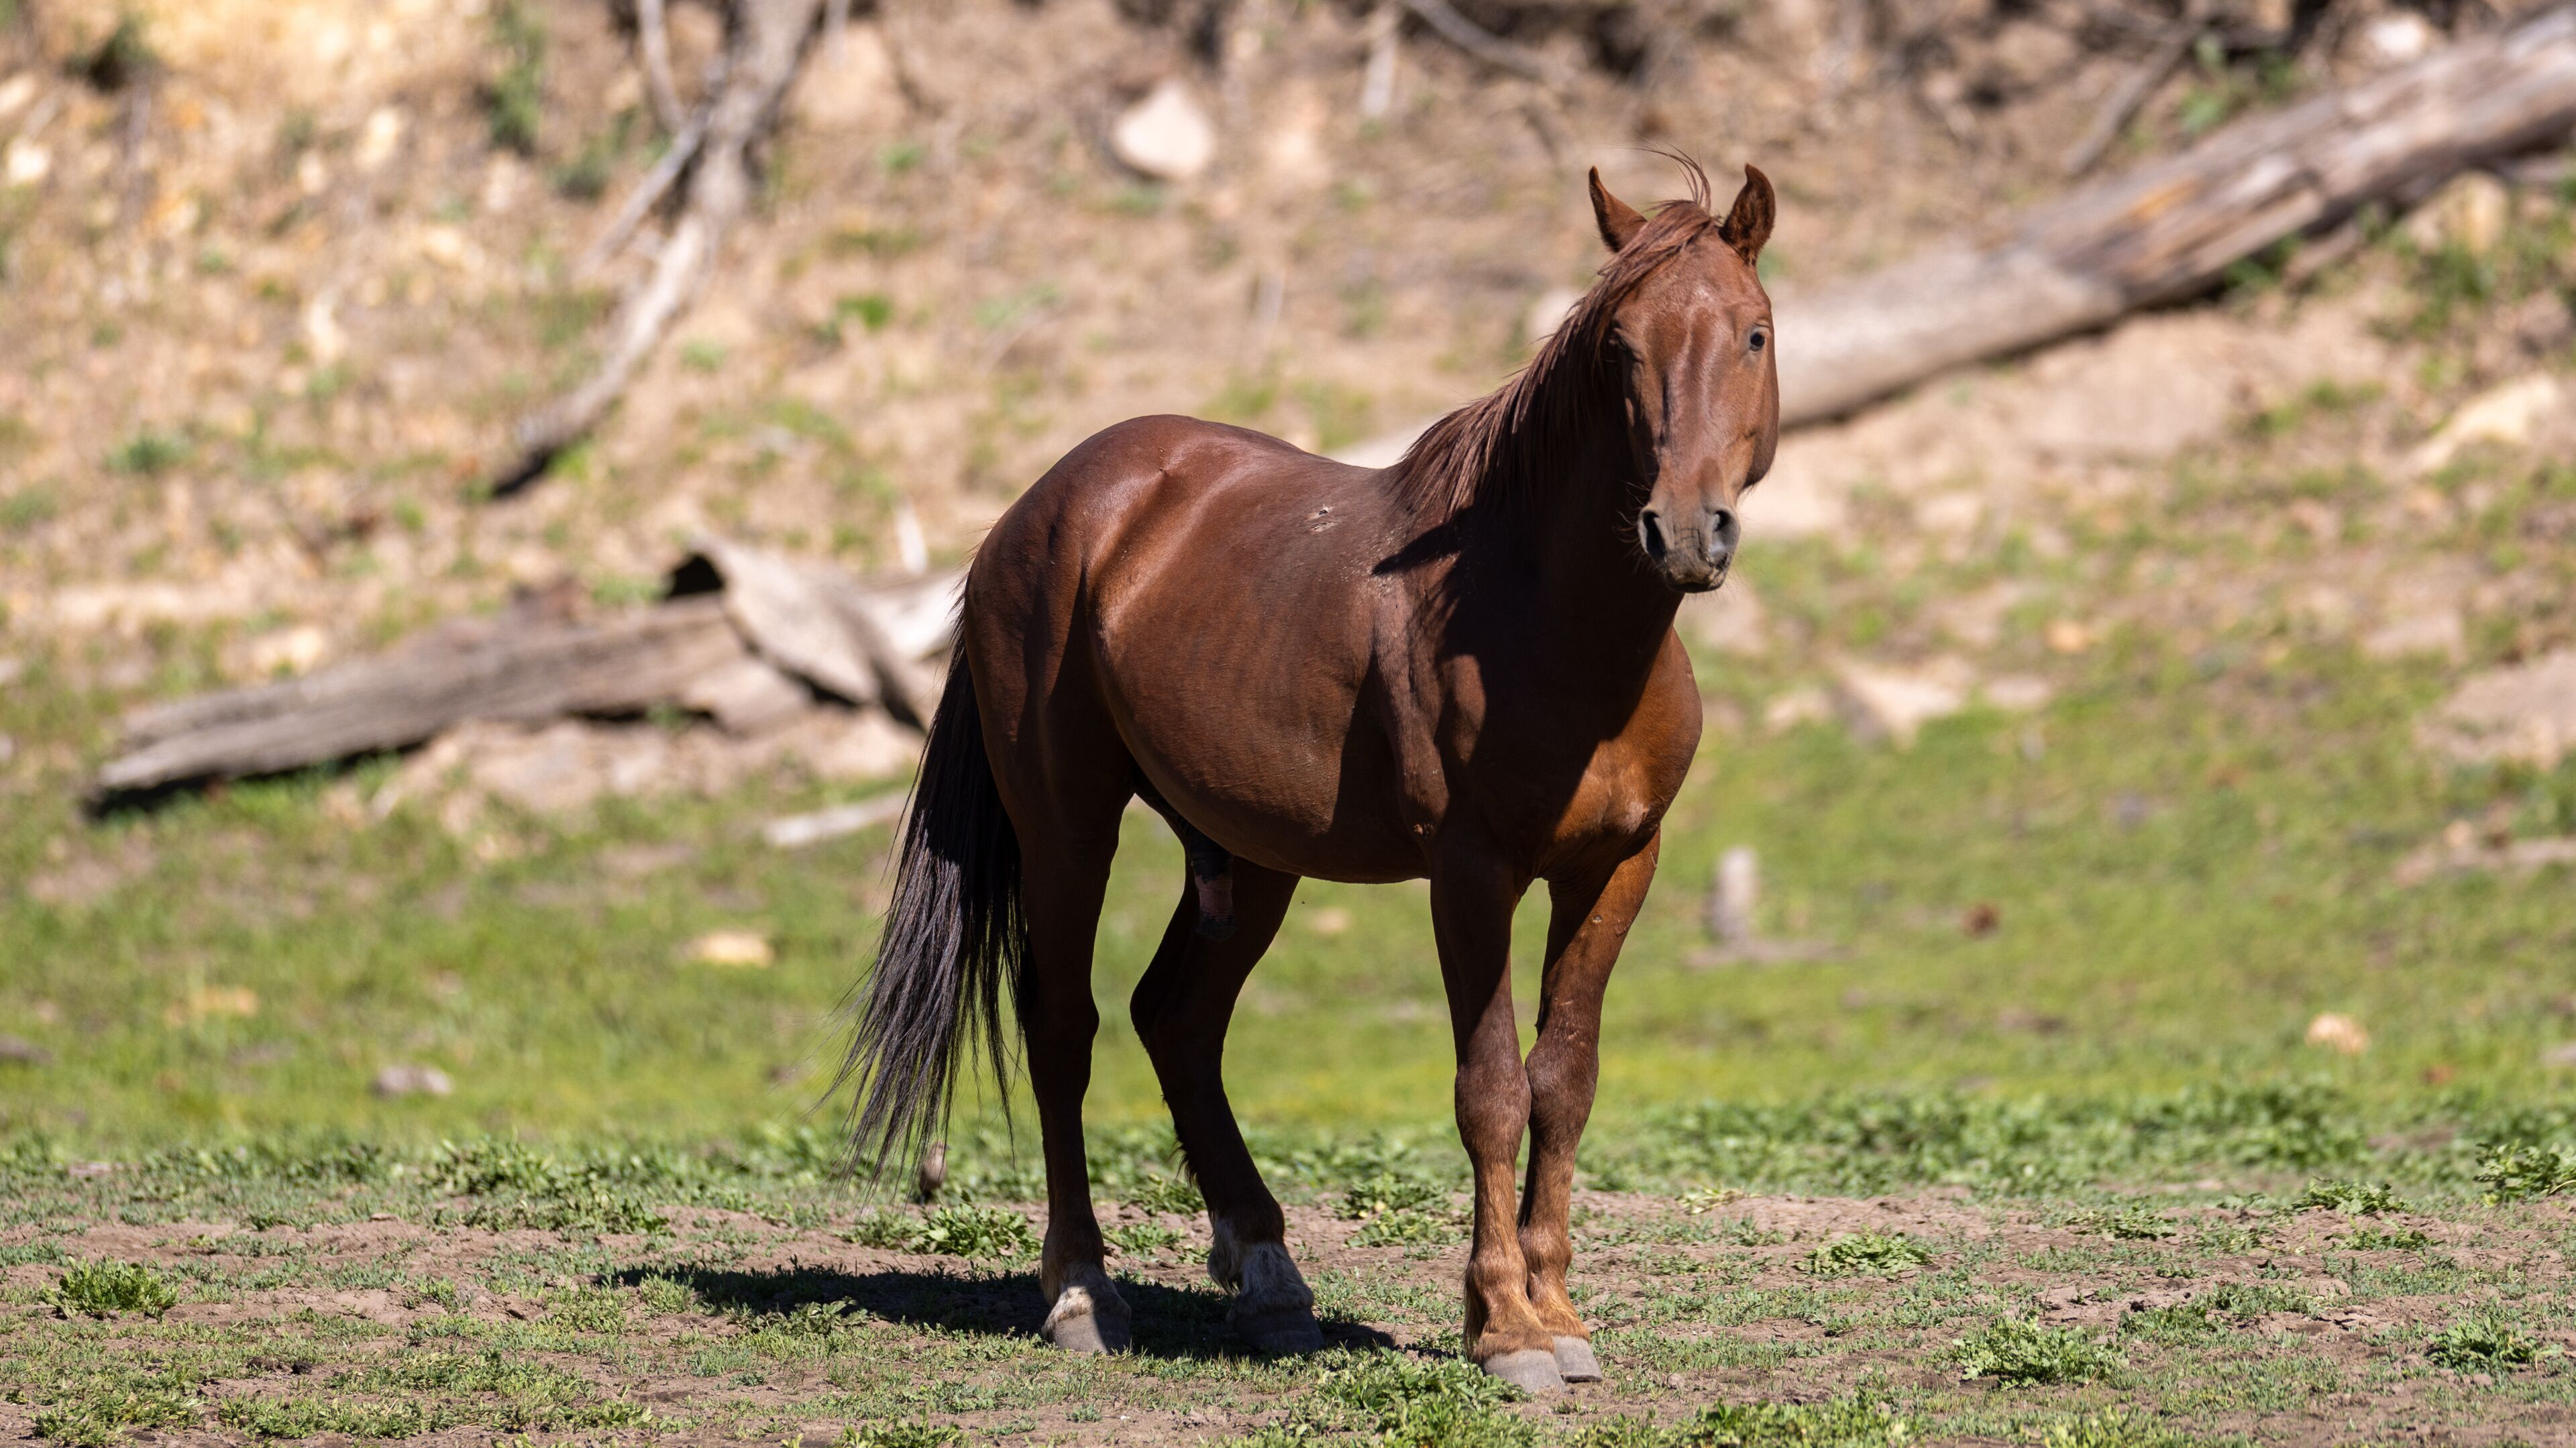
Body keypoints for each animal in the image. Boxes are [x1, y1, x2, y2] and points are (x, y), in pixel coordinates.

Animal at [840, 154, 1777, 1393]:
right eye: (1621, 345)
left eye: (1755, 333)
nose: (1683, 531)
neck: (1548, 621)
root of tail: (1039, 510)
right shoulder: (1471, 874)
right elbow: (1492, 1086)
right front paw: (1505, 1329)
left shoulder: (1618, 865)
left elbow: (1563, 1081)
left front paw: (1561, 1312)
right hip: (1069, 827)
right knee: (1064, 1023)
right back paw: (1084, 1291)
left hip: (1248, 858)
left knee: (1177, 1019)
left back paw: (1272, 1280)